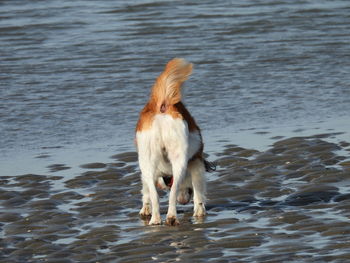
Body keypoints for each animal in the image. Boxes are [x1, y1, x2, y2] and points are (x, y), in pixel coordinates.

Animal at [135, 58, 213, 226]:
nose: (183, 201)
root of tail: (162, 105)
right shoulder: (196, 163)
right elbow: (198, 193)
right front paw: (199, 211)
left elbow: (147, 191)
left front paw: (145, 209)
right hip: (180, 159)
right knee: (173, 192)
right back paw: (171, 217)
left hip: (148, 160)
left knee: (156, 195)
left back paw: (156, 219)